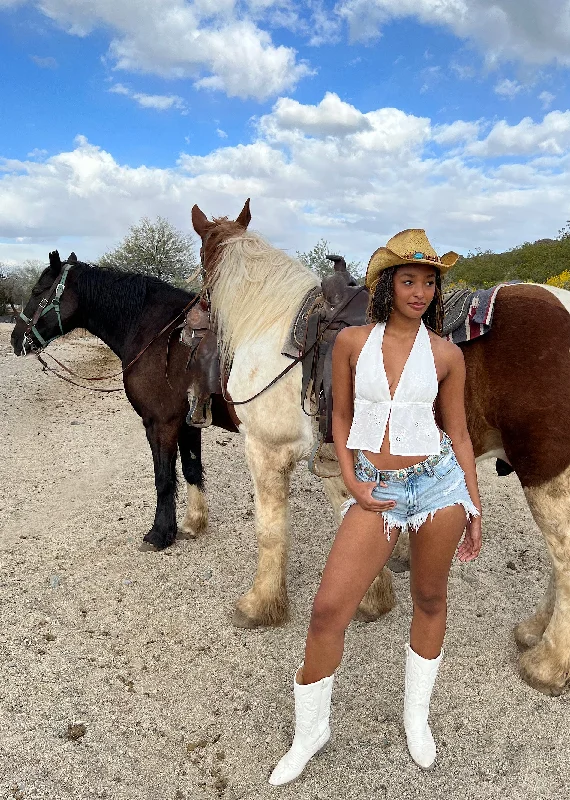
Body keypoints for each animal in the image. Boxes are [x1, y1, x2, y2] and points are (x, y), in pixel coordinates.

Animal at [192, 203, 568, 696]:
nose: (192, 321)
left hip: (548, 474)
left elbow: (270, 533)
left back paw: (548, 663)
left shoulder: (265, 449)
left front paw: (259, 605)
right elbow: (349, 517)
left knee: (564, 558)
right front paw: (374, 597)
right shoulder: (337, 459)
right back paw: (533, 631)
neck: (270, 327)